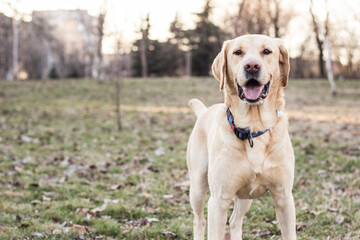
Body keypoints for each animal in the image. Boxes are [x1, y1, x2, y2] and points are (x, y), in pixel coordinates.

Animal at [186, 34, 296, 240]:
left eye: (267, 51)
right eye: (238, 52)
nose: (252, 66)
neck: (253, 127)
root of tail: (205, 111)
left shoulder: (284, 197)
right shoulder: (218, 201)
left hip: (245, 196)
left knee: (235, 221)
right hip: (197, 185)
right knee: (199, 220)